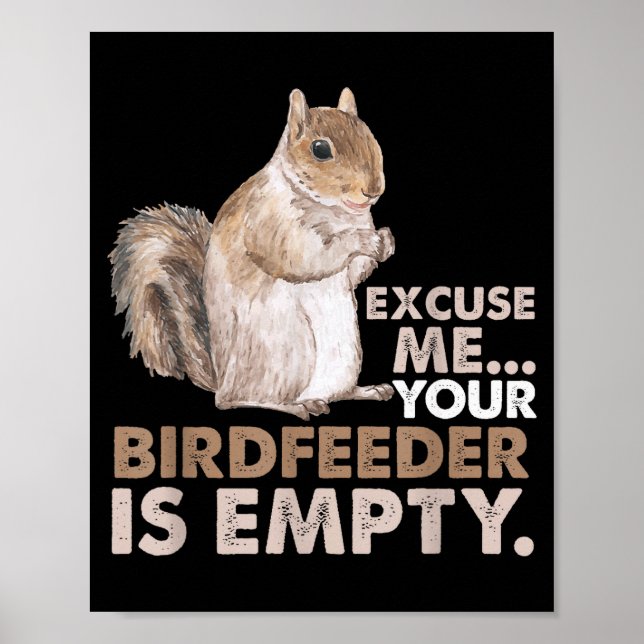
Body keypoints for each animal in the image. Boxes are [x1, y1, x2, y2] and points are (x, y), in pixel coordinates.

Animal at [110, 88, 395, 420]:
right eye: (320, 149)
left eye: (369, 134)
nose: (373, 190)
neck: (334, 211)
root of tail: (221, 378)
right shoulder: (268, 221)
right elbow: (306, 256)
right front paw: (361, 241)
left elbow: (353, 274)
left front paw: (386, 241)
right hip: (286, 351)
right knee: (235, 400)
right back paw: (295, 405)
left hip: (345, 354)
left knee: (335, 392)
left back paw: (365, 391)